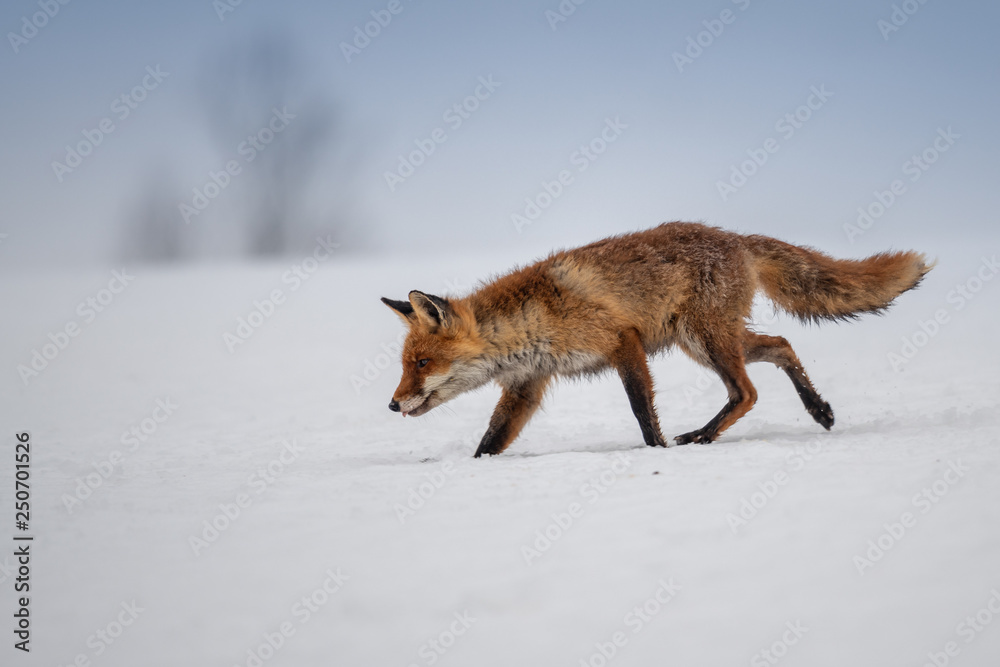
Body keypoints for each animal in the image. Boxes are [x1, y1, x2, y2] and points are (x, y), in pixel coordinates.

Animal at [381, 222, 932, 458]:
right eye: (407, 365)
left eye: (422, 363)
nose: (390, 405)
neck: (531, 321)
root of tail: (735, 237)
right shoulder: (527, 385)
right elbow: (490, 441)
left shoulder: (622, 340)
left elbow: (641, 410)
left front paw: (658, 451)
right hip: (709, 340)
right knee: (780, 345)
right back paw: (819, 410)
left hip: (705, 340)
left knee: (747, 392)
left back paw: (701, 438)